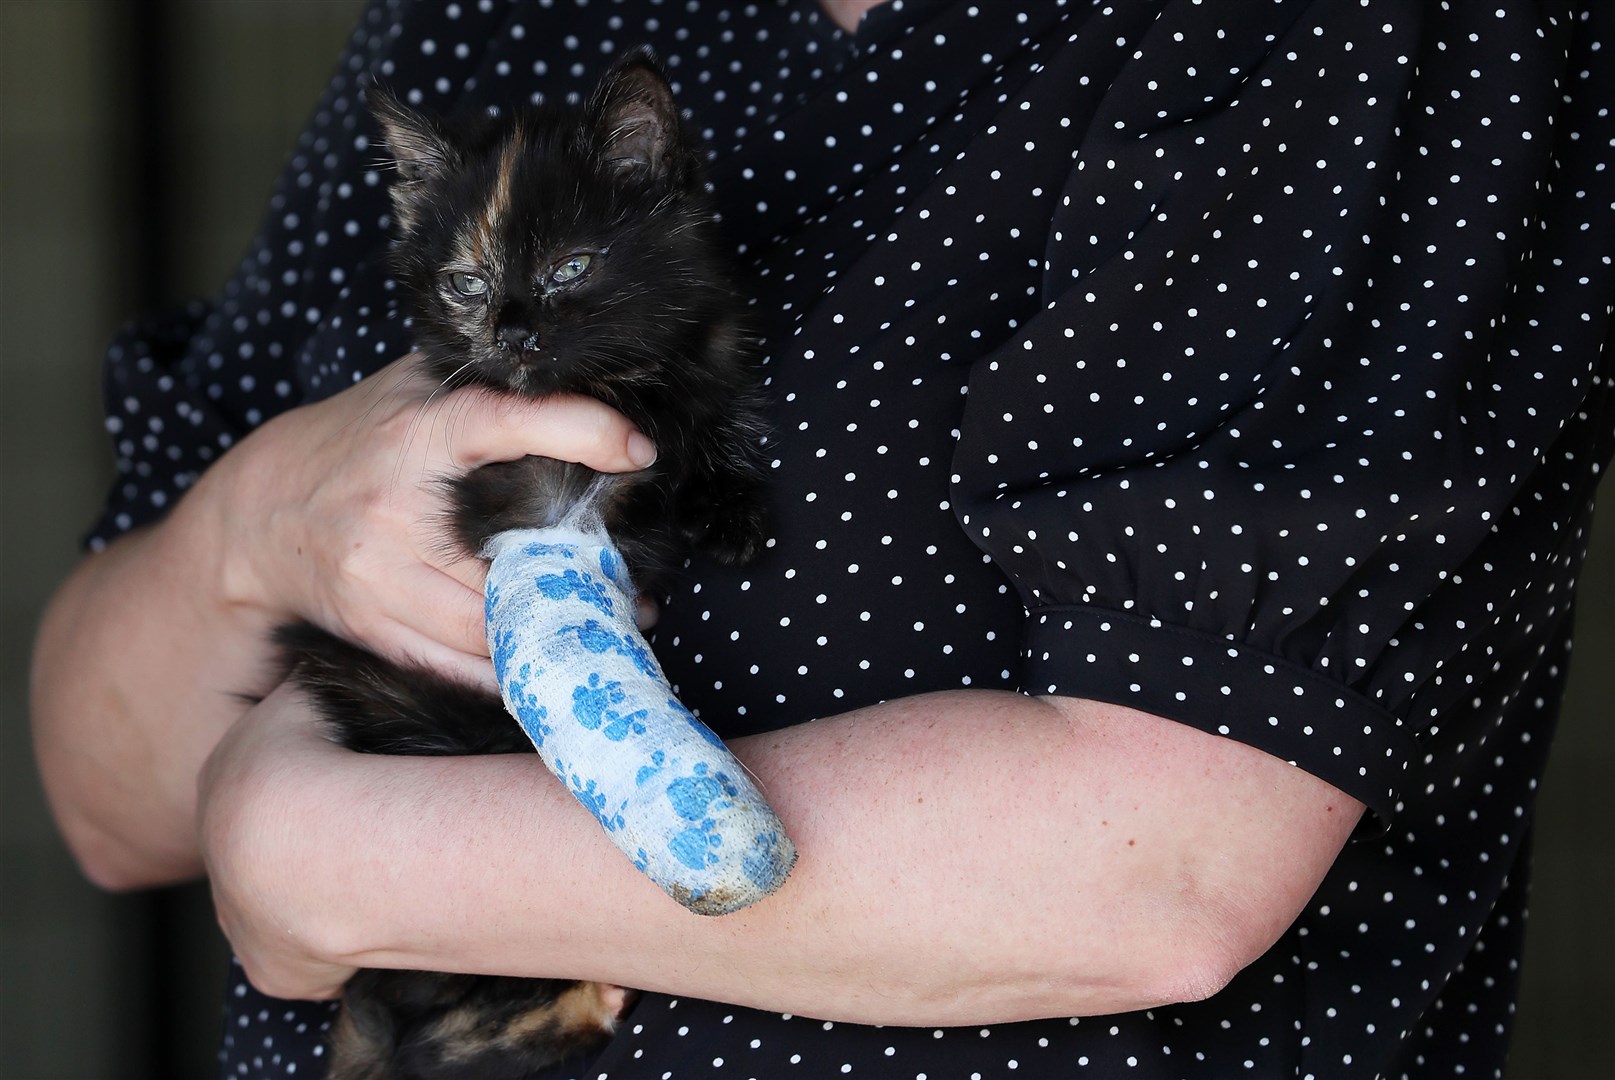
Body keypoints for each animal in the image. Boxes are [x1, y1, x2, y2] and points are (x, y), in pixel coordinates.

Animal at [274, 50, 771, 1078]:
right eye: (465, 283)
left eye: (569, 268)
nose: (508, 331)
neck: (619, 385)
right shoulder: (524, 489)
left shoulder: (713, 350)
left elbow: (716, 412)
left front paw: (731, 499)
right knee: (429, 1038)